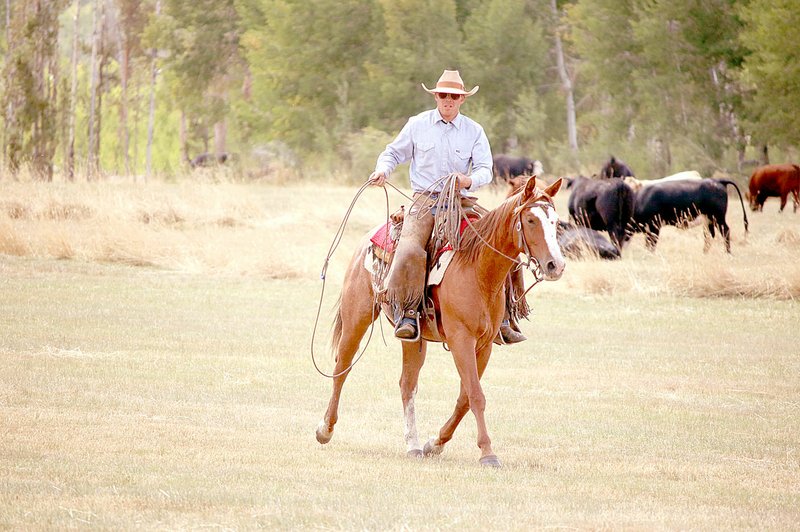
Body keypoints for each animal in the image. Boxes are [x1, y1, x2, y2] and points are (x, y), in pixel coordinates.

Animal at [316, 176, 564, 466]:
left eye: (556, 222)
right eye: (531, 220)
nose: (556, 265)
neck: (478, 269)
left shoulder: (484, 345)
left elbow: (465, 398)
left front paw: (435, 443)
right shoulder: (461, 340)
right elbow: (476, 395)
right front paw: (488, 453)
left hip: (414, 338)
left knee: (407, 384)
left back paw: (413, 444)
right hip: (357, 317)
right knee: (342, 368)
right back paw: (325, 430)